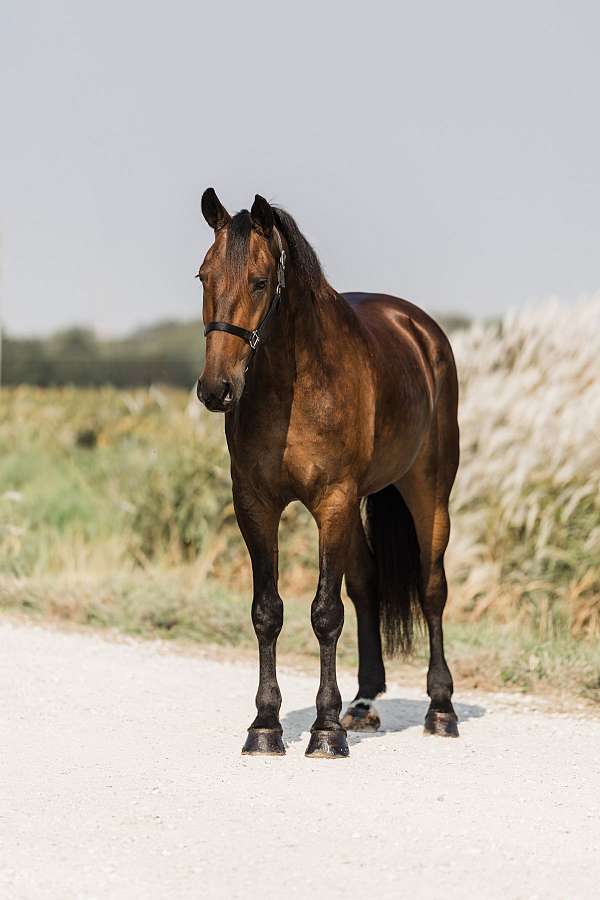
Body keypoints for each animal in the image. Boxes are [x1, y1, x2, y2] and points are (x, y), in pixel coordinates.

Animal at [196, 188, 460, 758]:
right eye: (204, 276)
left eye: (259, 281)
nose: (216, 389)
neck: (294, 386)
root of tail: (420, 330)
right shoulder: (255, 504)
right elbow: (267, 611)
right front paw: (265, 726)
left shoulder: (332, 500)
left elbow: (325, 613)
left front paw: (325, 730)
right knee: (366, 583)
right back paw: (362, 703)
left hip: (429, 491)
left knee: (432, 588)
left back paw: (441, 709)